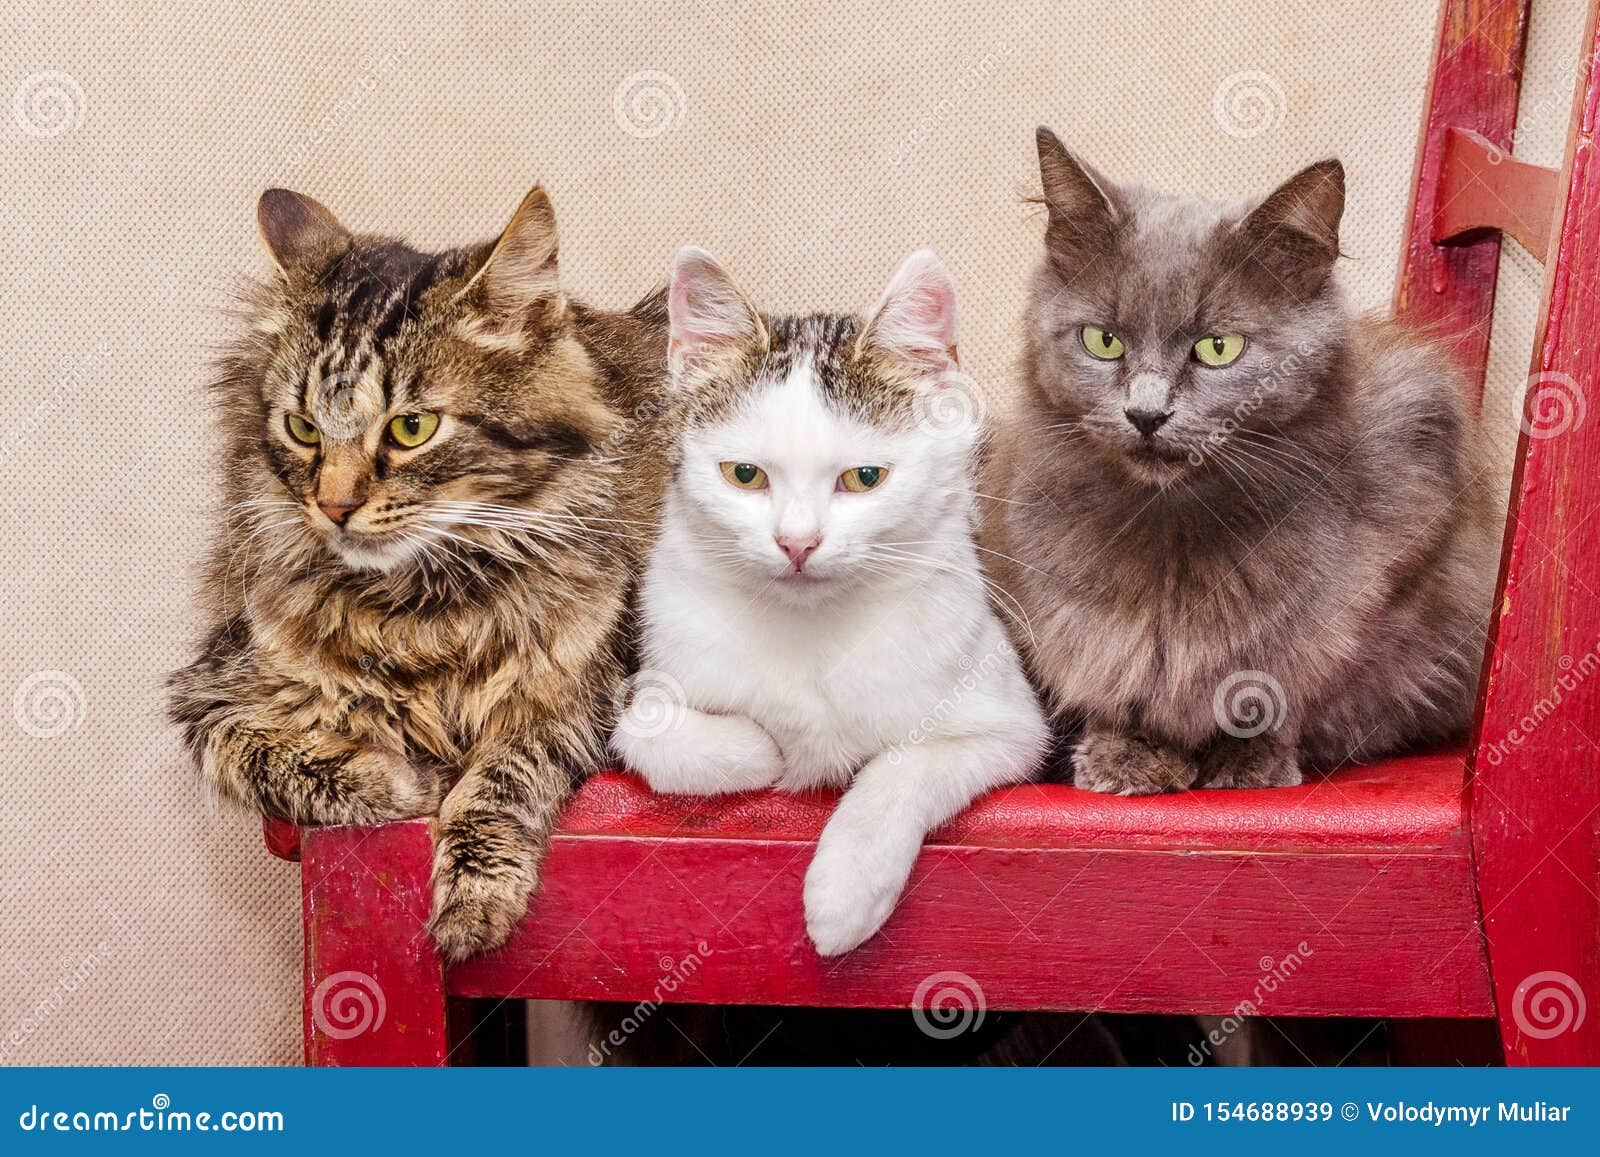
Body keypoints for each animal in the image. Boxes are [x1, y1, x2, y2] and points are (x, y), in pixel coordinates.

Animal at [162, 183, 662, 960]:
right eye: (302, 428)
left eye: (410, 428)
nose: (334, 507)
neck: (422, 609)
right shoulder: (211, 692)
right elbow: (264, 756)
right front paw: (401, 780)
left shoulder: (582, 693)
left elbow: (497, 783)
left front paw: (472, 902)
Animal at [611, 246, 1049, 960]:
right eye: (744, 475)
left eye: (864, 478)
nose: (798, 542)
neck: (809, 629)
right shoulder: (652, 665)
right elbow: (649, 731)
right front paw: (764, 748)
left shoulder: (1011, 725)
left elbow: (908, 764)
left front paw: (848, 888)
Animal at [985, 128, 1497, 796]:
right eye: (1103, 341)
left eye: (1218, 348)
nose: (1145, 414)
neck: (1172, 533)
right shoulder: (1064, 606)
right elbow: (1117, 671)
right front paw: (1129, 753)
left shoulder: (1393, 554)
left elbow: (1288, 675)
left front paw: (1249, 757)